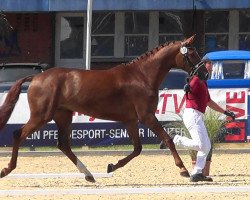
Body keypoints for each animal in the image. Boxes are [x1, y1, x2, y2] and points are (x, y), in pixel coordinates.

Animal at [0, 34, 207, 183]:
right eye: (192, 53)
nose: (204, 73)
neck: (142, 76)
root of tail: (35, 78)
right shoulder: (146, 116)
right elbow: (167, 140)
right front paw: (183, 169)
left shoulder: (131, 120)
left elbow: (137, 148)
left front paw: (112, 166)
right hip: (42, 115)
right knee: (18, 134)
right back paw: (7, 169)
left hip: (63, 115)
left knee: (64, 144)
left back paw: (88, 174)